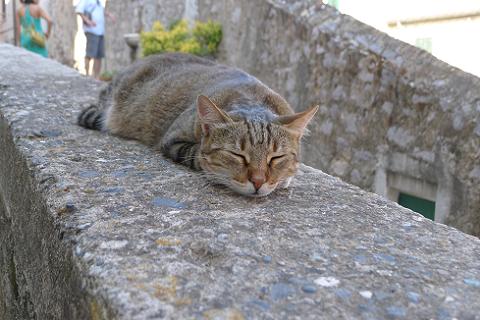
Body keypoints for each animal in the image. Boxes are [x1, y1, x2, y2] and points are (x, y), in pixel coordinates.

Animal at [78, 52, 318, 196]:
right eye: (237, 155)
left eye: (276, 157)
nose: (258, 181)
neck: (251, 98)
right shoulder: (173, 139)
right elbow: (198, 156)